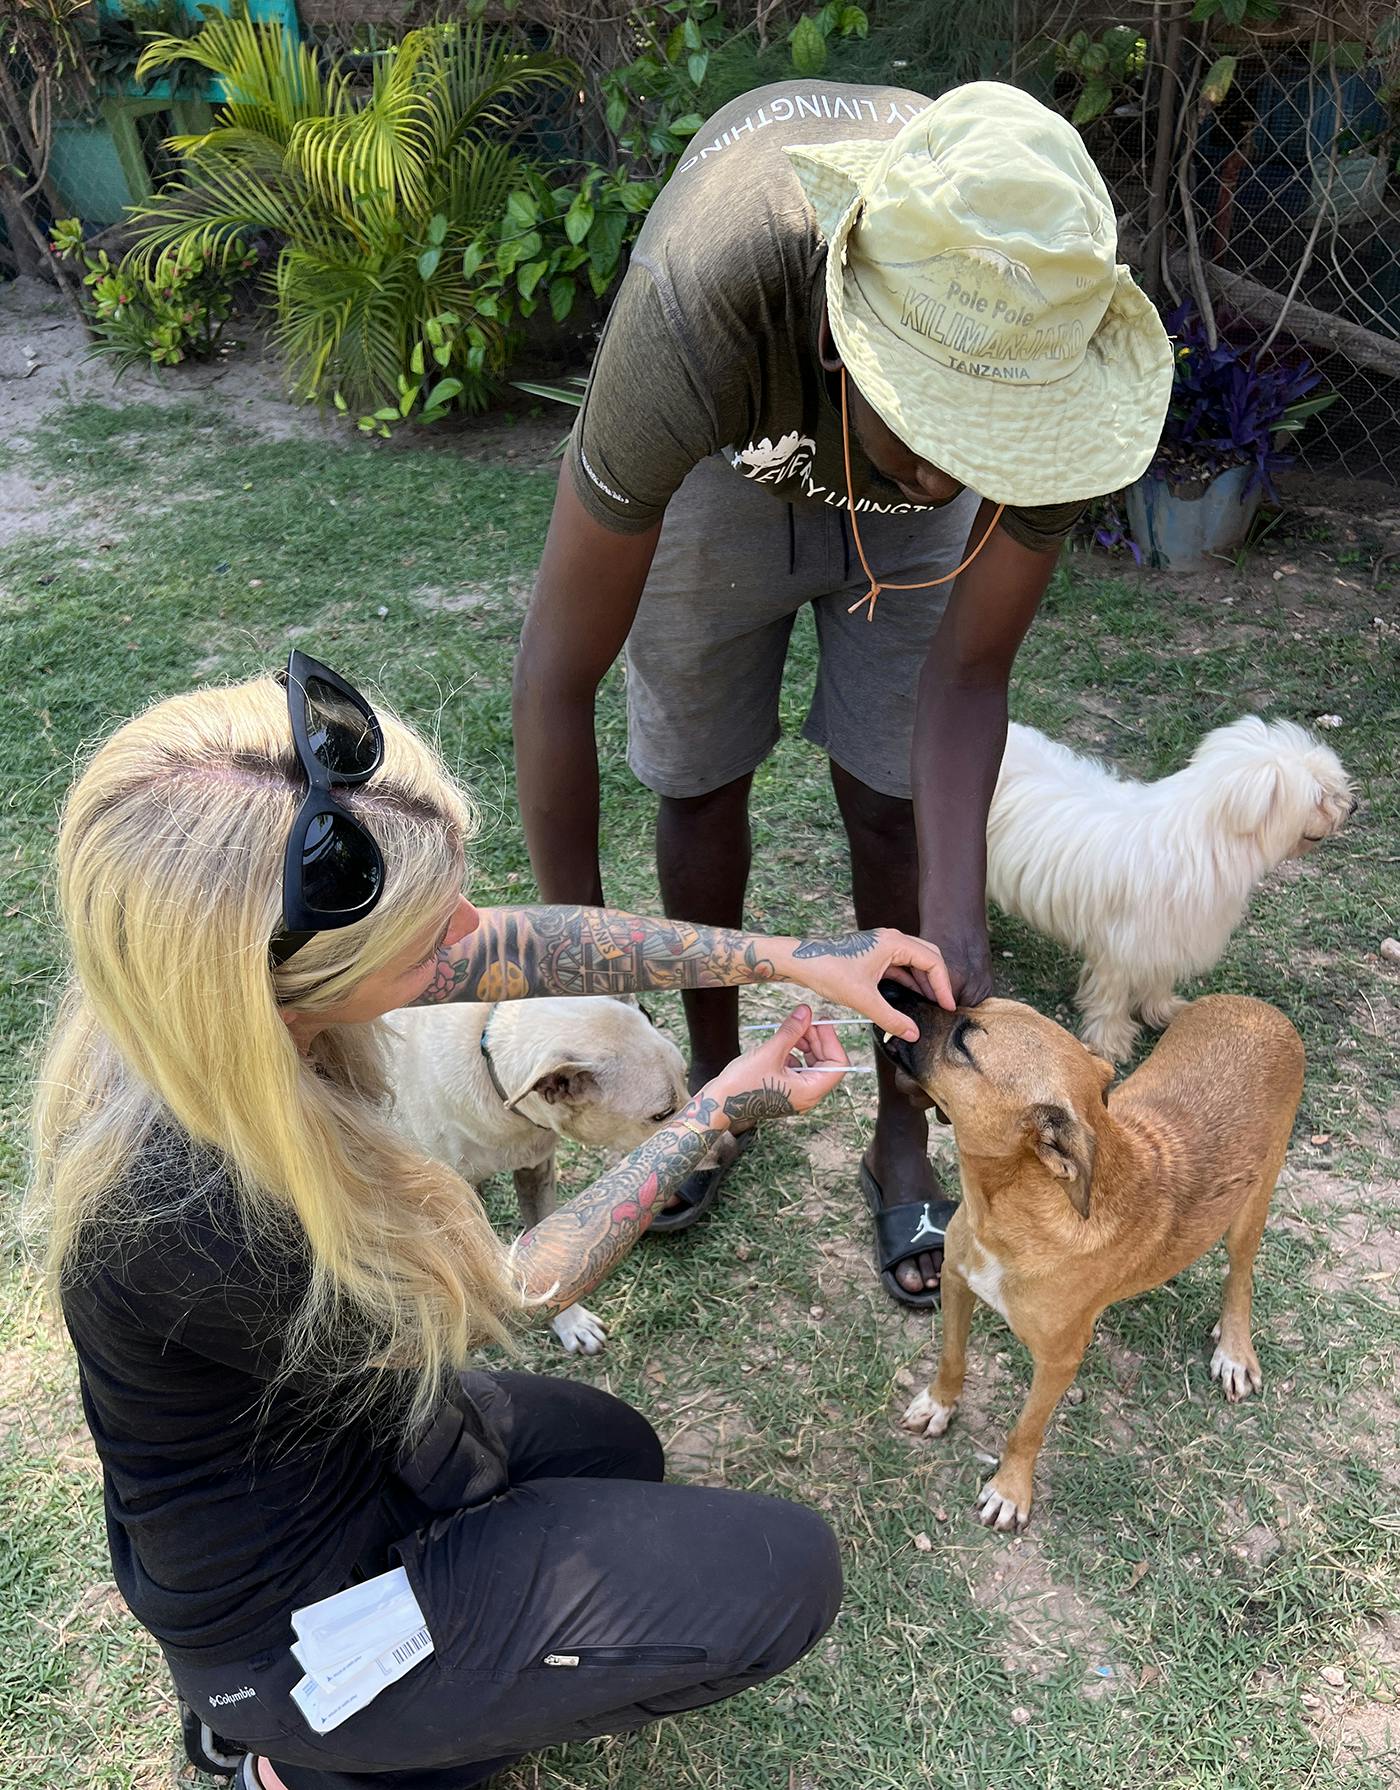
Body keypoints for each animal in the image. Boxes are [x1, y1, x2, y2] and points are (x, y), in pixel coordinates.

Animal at [884, 988, 1310, 1532]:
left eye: (964, 1040)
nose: (892, 990)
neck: (1014, 1205)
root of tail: (1259, 1007)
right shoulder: (957, 1283)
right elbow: (951, 1360)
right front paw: (939, 1405)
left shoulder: (1059, 1361)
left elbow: (1026, 1429)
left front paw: (1010, 1488)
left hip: (1250, 1207)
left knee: (1241, 1276)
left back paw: (1234, 1348)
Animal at [988, 716, 1360, 1059]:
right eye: (1321, 795)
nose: (1353, 807)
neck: (1205, 842)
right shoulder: (1121, 947)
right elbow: (1110, 998)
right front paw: (1110, 1041)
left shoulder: (1168, 937)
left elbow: (1158, 982)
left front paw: (1162, 1010)